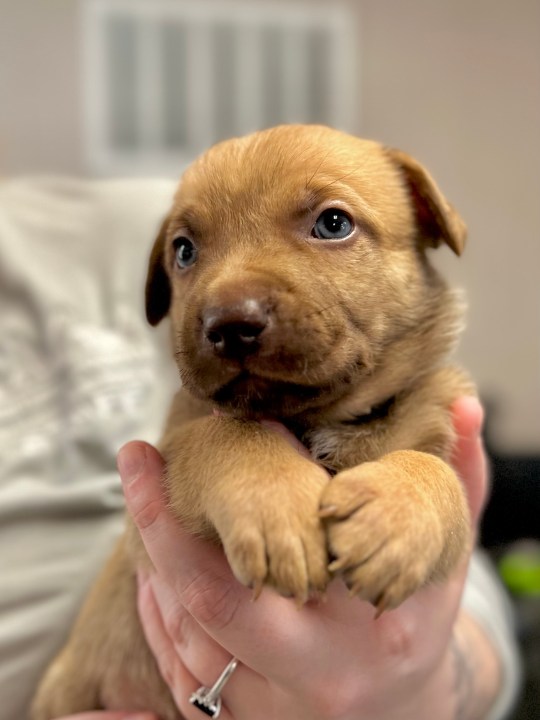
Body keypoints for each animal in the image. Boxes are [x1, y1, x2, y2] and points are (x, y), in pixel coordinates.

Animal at [32, 126, 472, 720]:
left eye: (333, 223)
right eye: (184, 250)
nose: (230, 326)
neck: (317, 420)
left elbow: (435, 472)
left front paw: (396, 518)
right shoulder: (156, 508)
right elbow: (227, 431)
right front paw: (276, 504)